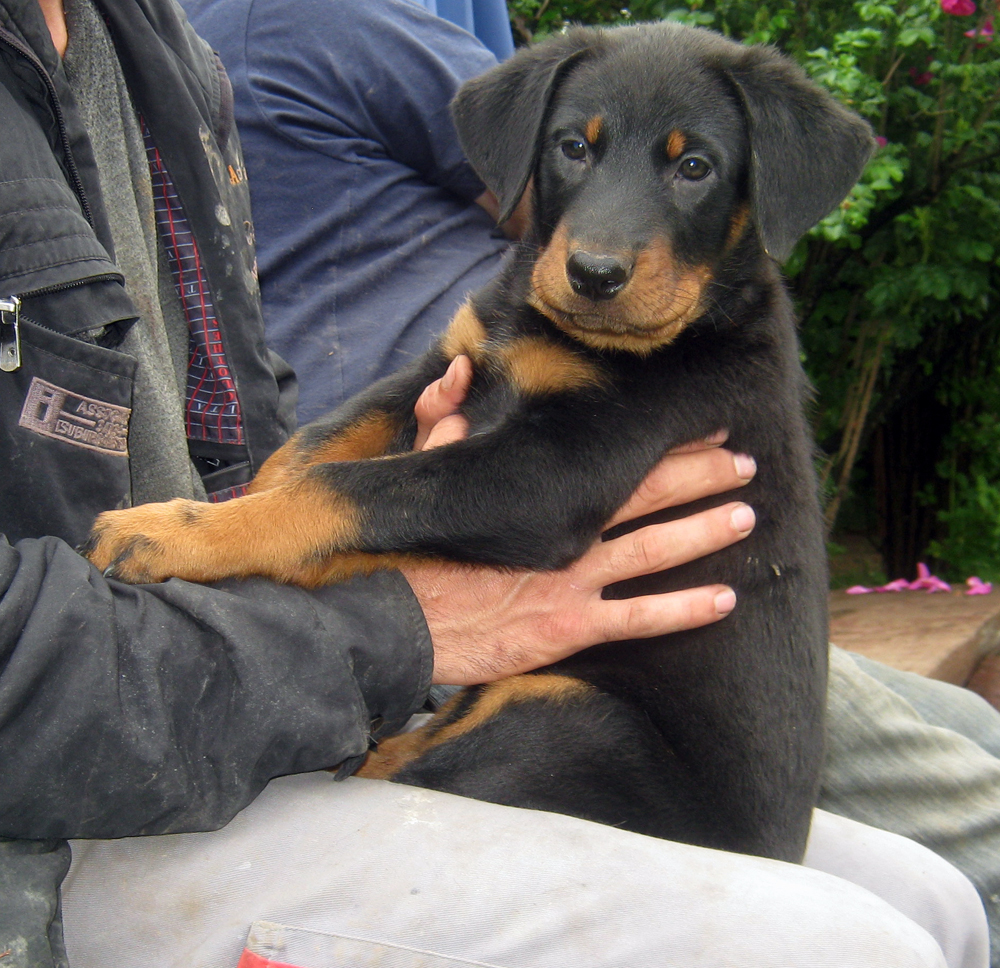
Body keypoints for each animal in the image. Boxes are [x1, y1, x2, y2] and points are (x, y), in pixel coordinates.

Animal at [88, 24, 876, 864]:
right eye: (573, 147)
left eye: (695, 167)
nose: (594, 274)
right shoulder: (447, 362)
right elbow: (306, 449)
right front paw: (218, 510)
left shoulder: (561, 466)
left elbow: (343, 485)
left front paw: (171, 532)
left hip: (560, 711)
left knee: (416, 766)